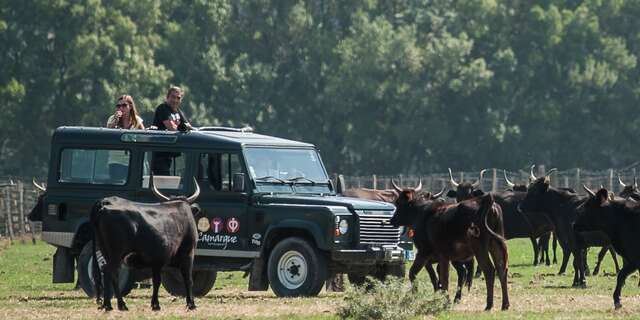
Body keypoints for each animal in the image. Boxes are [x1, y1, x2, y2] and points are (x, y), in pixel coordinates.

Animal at [90, 176, 200, 312]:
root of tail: (104, 202)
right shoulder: (188, 253)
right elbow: (188, 279)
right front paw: (191, 304)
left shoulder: (157, 261)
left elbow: (157, 281)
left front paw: (155, 304)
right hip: (116, 253)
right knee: (110, 271)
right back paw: (117, 304)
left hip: (105, 250)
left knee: (109, 272)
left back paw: (111, 305)